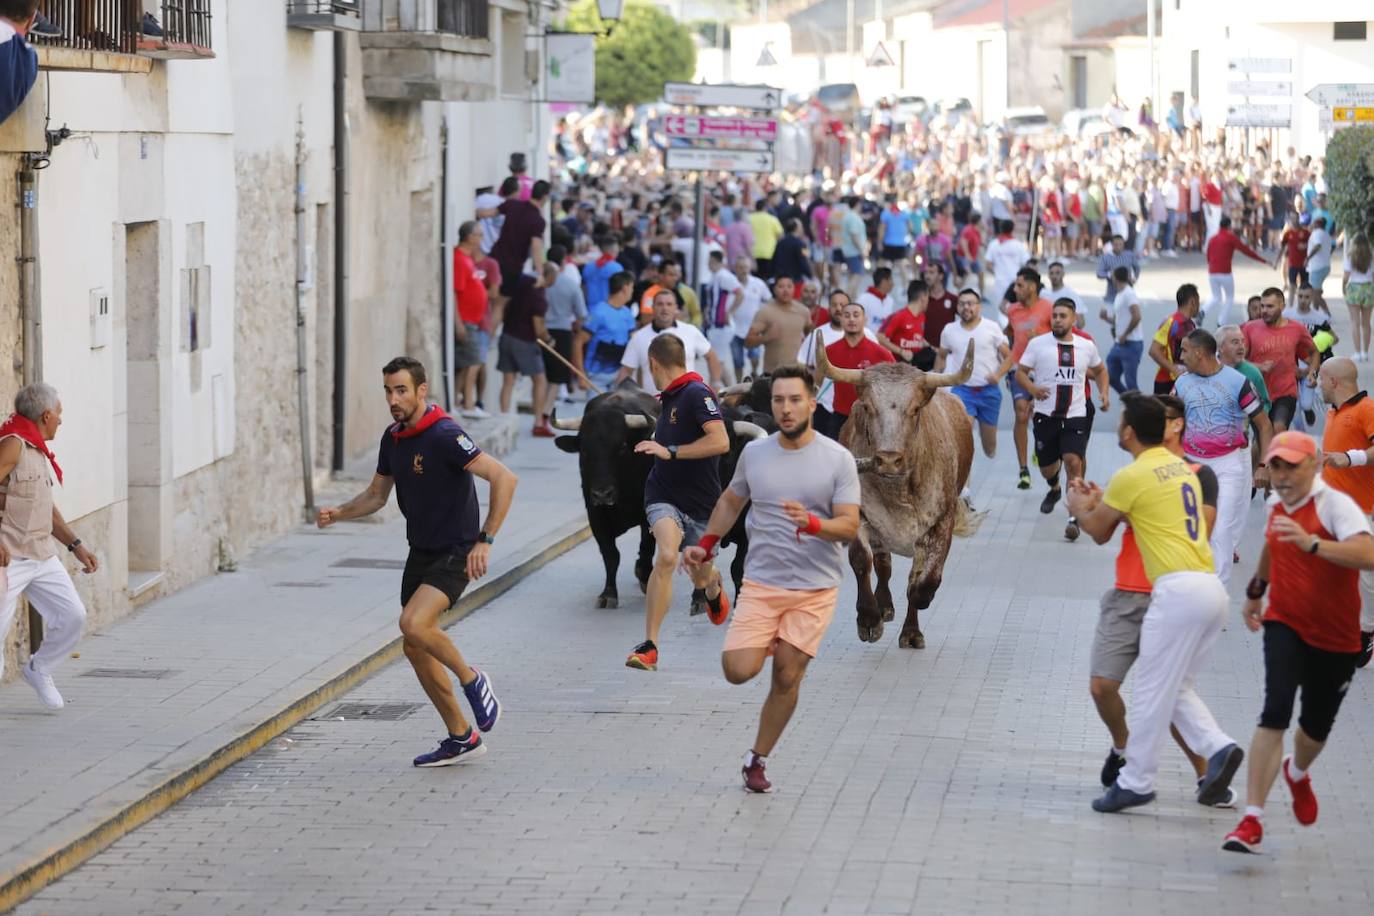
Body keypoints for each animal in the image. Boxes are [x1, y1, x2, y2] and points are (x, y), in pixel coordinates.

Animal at [807, 333, 983, 648]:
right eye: (867, 407)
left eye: (915, 409)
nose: (888, 458)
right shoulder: (860, 515)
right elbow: (862, 560)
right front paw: (869, 619)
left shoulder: (941, 523)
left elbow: (925, 579)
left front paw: (918, 608)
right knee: (884, 564)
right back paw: (885, 606)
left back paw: (911, 630)